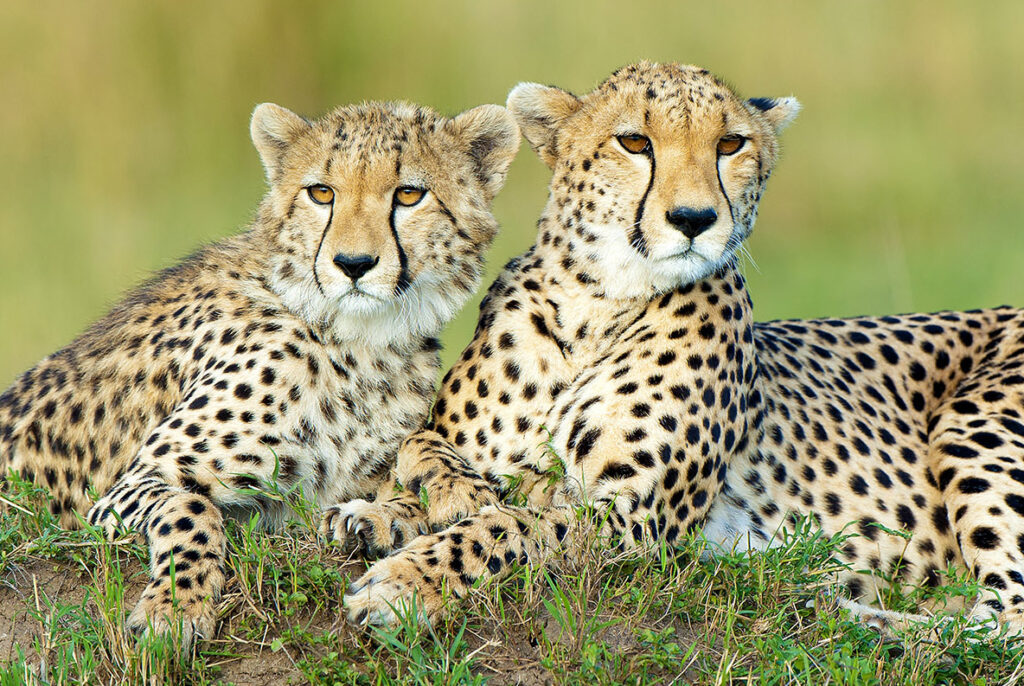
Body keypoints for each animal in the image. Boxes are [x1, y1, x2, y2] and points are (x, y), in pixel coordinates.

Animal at [0, 98, 520, 646]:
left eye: (409, 194)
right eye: (321, 192)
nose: (353, 263)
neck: (361, 341)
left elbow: (416, 446)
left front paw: (451, 489)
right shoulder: (129, 487)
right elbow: (193, 509)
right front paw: (175, 609)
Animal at [328, 61, 1024, 638]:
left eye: (730, 144)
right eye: (635, 143)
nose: (694, 219)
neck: (594, 307)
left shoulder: (633, 517)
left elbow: (514, 527)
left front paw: (405, 582)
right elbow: (431, 461)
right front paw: (381, 512)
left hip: (976, 423)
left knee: (999, 622)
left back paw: (830, 602)